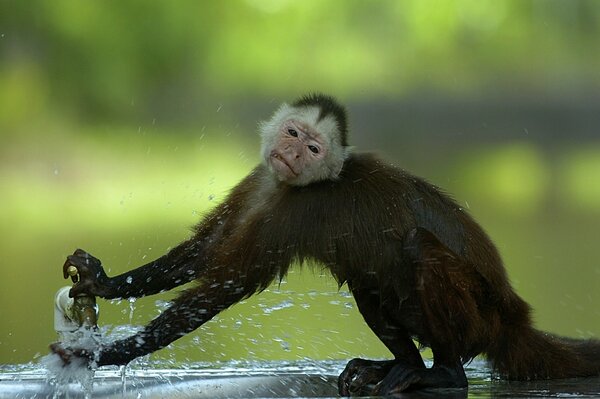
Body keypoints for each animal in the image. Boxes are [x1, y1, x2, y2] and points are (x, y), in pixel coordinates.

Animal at [52, 94, 600, 396]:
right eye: (293, 134)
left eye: (313, 148)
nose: (293, 154)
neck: (289, 185)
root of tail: (512, 318)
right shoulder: (260, 181)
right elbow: (203, 252)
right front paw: (103, 282)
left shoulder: (296, 211)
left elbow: (223, 285)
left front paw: (107, 355)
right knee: (367, 278)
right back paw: (402, 365)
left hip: (479, 316)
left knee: (417, 250)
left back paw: (443, 373)